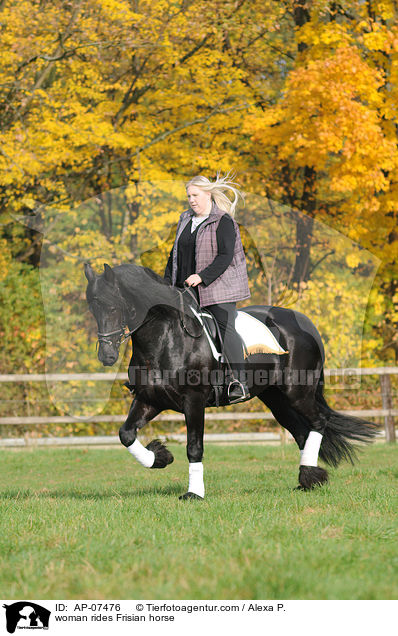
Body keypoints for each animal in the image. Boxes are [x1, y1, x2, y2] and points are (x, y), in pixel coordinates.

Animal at [84, 260, 376, 500]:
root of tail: (304, 323)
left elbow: (194, 447)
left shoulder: (194, 401)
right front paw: (160, 456)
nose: (107, 356)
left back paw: (309, 477)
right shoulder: (150, 399)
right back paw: (309, 479)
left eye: (112, 306)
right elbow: (126, 434)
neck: (166, 337)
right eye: (92, 308)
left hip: (297, 392)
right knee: (302, 432)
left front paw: (194, 494)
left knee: (318, 421)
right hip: (276, 399)